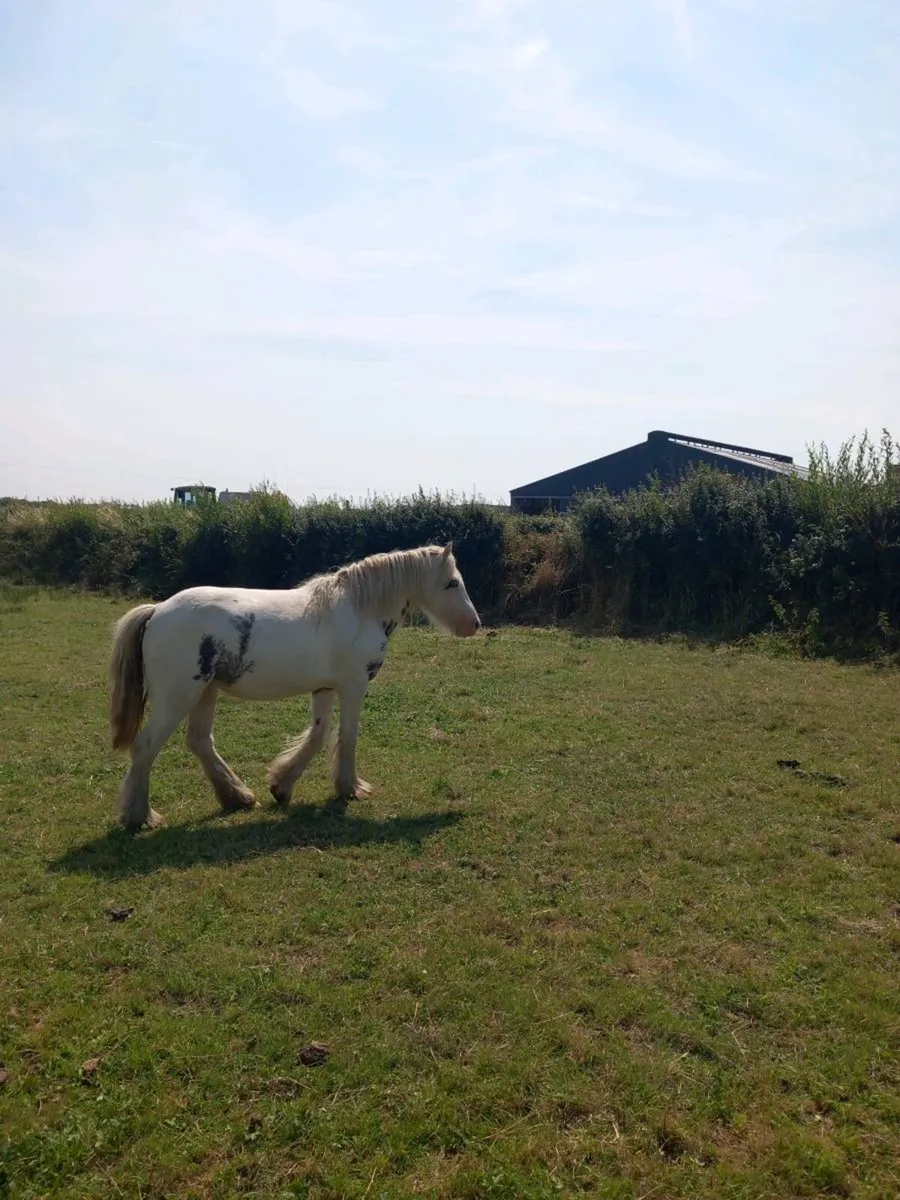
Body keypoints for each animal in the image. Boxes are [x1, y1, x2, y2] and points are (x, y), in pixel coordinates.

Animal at [107, 543, 481, 831]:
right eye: (452, 582)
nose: (474, 624)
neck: (359, 611)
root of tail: (157, 611)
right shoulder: (353, 685)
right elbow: (348, 736)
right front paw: (351, 789)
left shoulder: (325, 689)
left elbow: (318, 735)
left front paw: (282, 786)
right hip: (177, 698)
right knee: (146, 747)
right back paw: (141, 816)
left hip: (204, 693)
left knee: (199, 742)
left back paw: (238, 797)